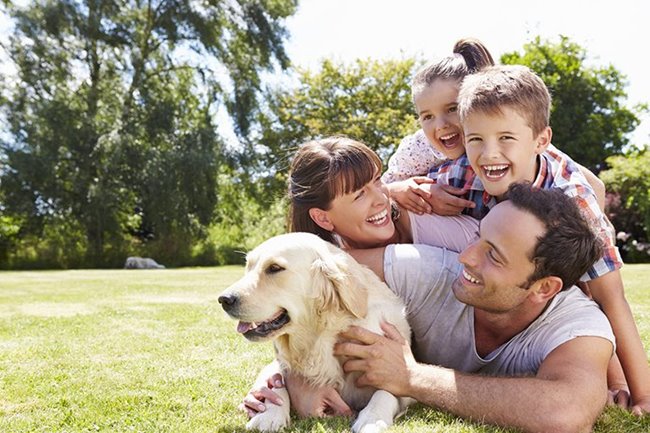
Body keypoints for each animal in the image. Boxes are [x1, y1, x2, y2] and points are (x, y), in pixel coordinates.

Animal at [218, 232, 413, 433]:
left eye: (274, 268)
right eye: (248, 267)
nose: (224, 299)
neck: (322, 337)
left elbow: (386, 390)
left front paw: (372, 419)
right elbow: (277, 382)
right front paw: (269, 416)